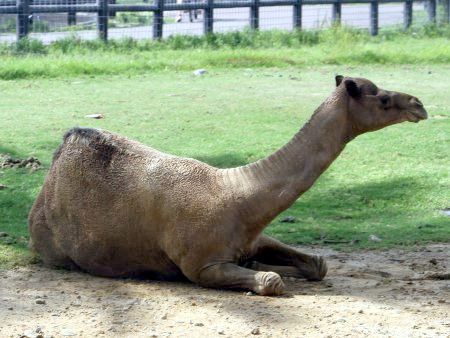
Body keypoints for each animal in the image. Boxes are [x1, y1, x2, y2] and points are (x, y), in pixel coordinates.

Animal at [29, 76, 428, 296]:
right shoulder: (201, 266)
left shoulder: (253, 236)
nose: (418, 104)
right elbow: (271, 281)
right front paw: (270, 273)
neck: (235, 196)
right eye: (382, 98)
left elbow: (317, 264)